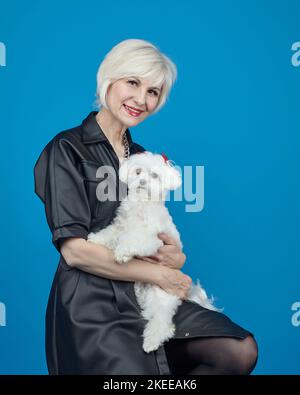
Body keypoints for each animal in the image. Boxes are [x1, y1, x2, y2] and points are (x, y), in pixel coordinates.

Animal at [86, 151, 220, 352]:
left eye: (155, 175)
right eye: (138, 171)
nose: (142, 182)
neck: (142, 204)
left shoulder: (153, 239)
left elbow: (134, 240)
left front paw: (122, 252)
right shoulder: (121, 226)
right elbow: (110, 233)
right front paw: (96, 239)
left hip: (161, 295)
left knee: (163, 322)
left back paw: (152, 341)